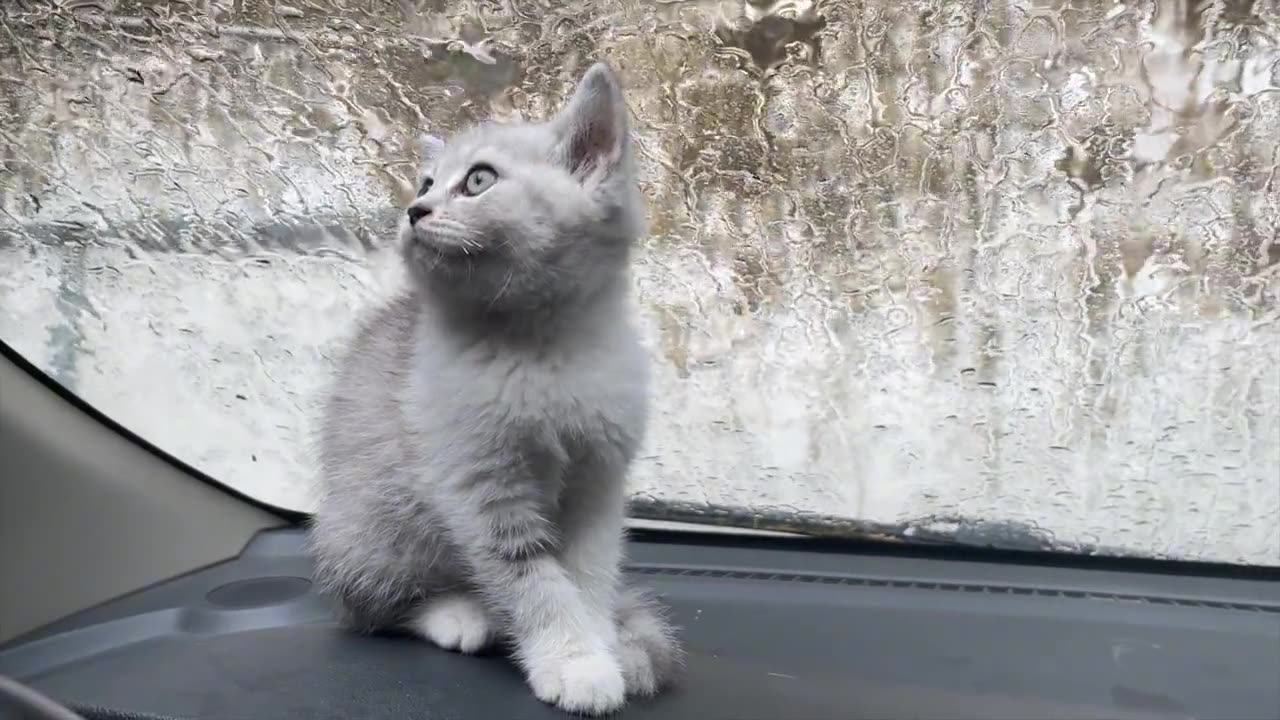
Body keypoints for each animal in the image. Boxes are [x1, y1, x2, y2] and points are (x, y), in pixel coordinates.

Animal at [305, 63, 686, 712]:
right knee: (370, 609)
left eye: (478, 180)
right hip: (371, 528)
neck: (540, 347)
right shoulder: (480, 489)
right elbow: (534, 581)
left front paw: (603, 643)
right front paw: (574, 662)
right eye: (426, 182)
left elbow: (587, 575)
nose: (414, 209)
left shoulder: (598, 483)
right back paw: (460, 614)